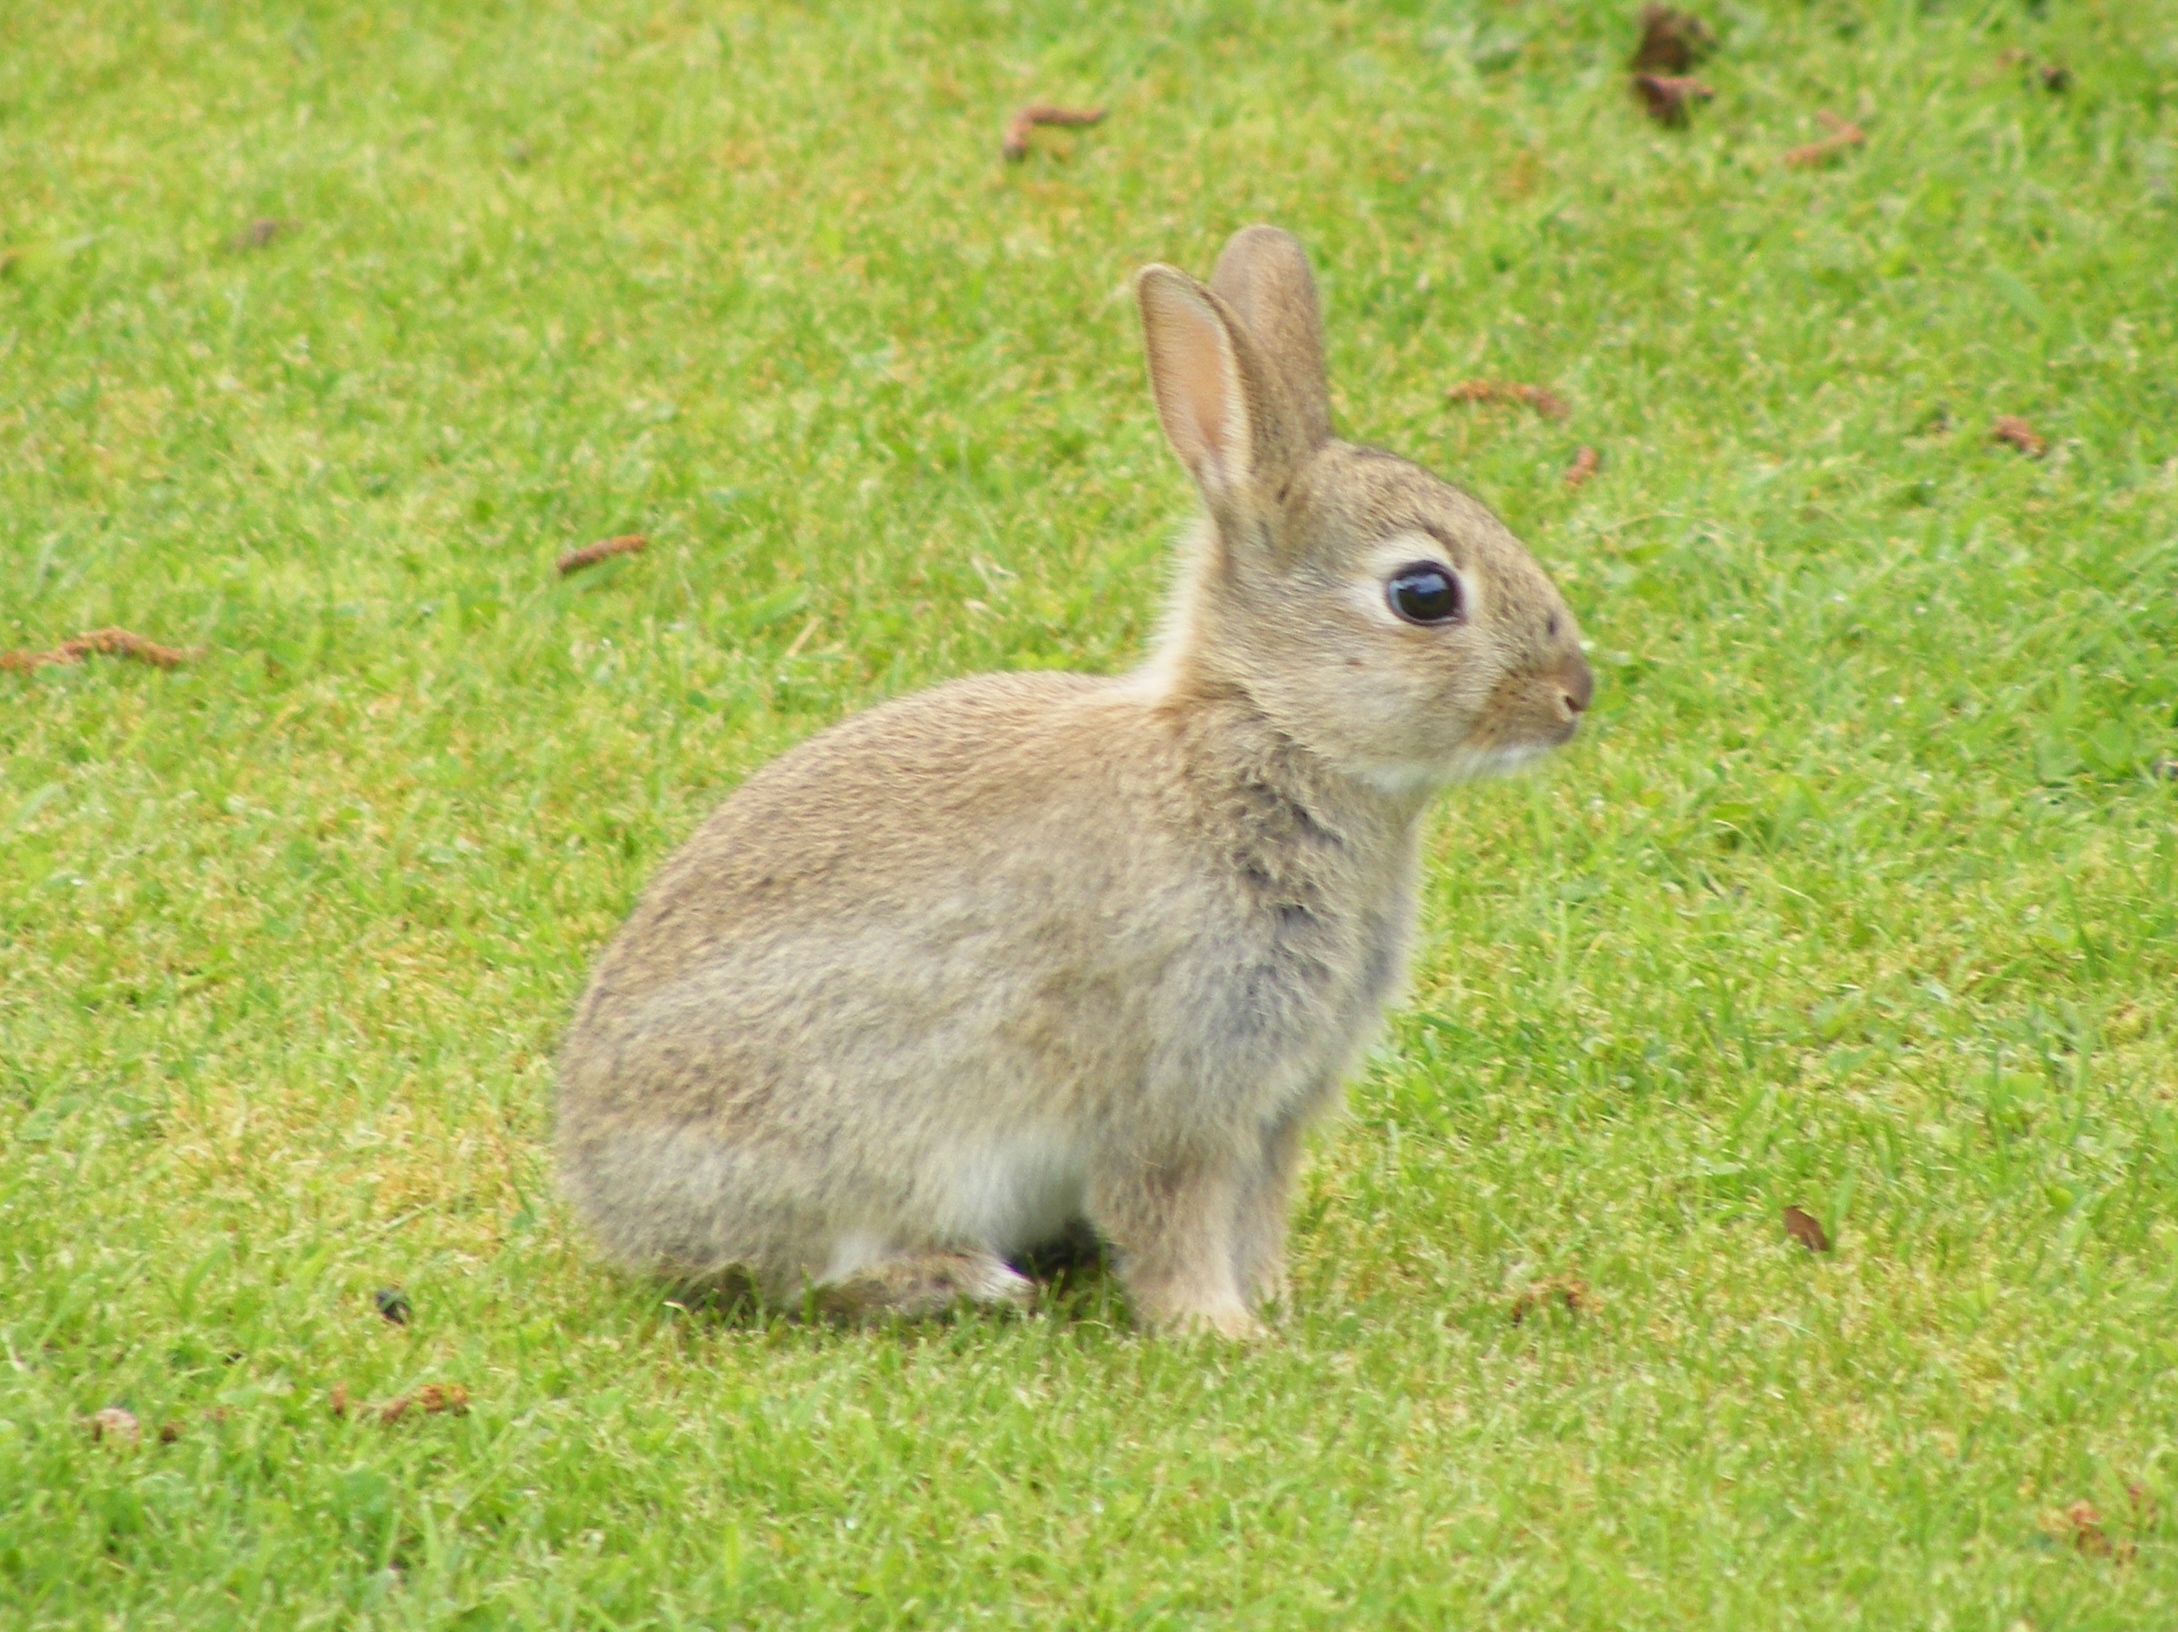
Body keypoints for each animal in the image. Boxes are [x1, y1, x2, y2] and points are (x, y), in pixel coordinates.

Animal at [557, 225, 1593, 1338]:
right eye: (1425, 593)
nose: (1577, 693)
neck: (1268, 732)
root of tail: (601, 1192)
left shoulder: (1279, 1105)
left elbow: (1258, 1212)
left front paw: (1271, 1304)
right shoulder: (1178, 1089)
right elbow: (1173, 1215)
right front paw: (1221, 1332)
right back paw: (959, 1280)